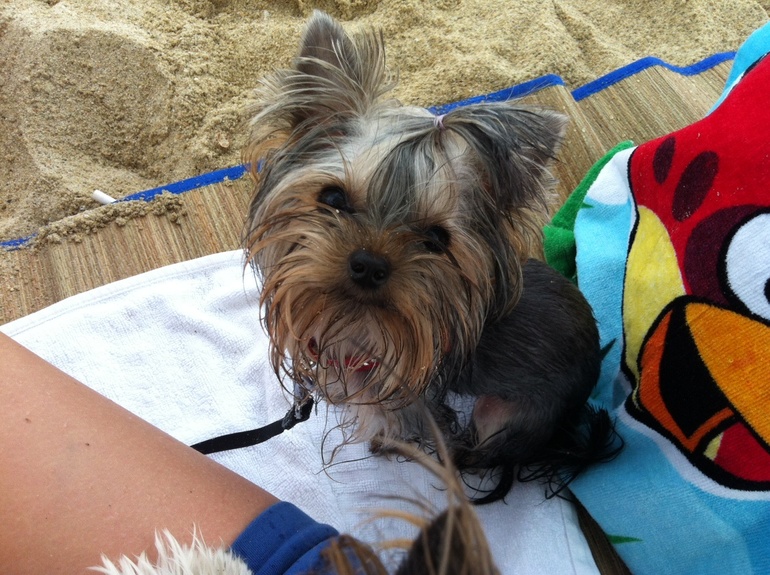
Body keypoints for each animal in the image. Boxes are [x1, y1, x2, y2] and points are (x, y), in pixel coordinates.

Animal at [243, 11, 618, 502]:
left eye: (437, 239)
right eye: (333, 198)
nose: (369, 263)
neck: (361, 327)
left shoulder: (407, 401)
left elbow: (395, 426)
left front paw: (388, 445)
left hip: (506, 411)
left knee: (487, 446)